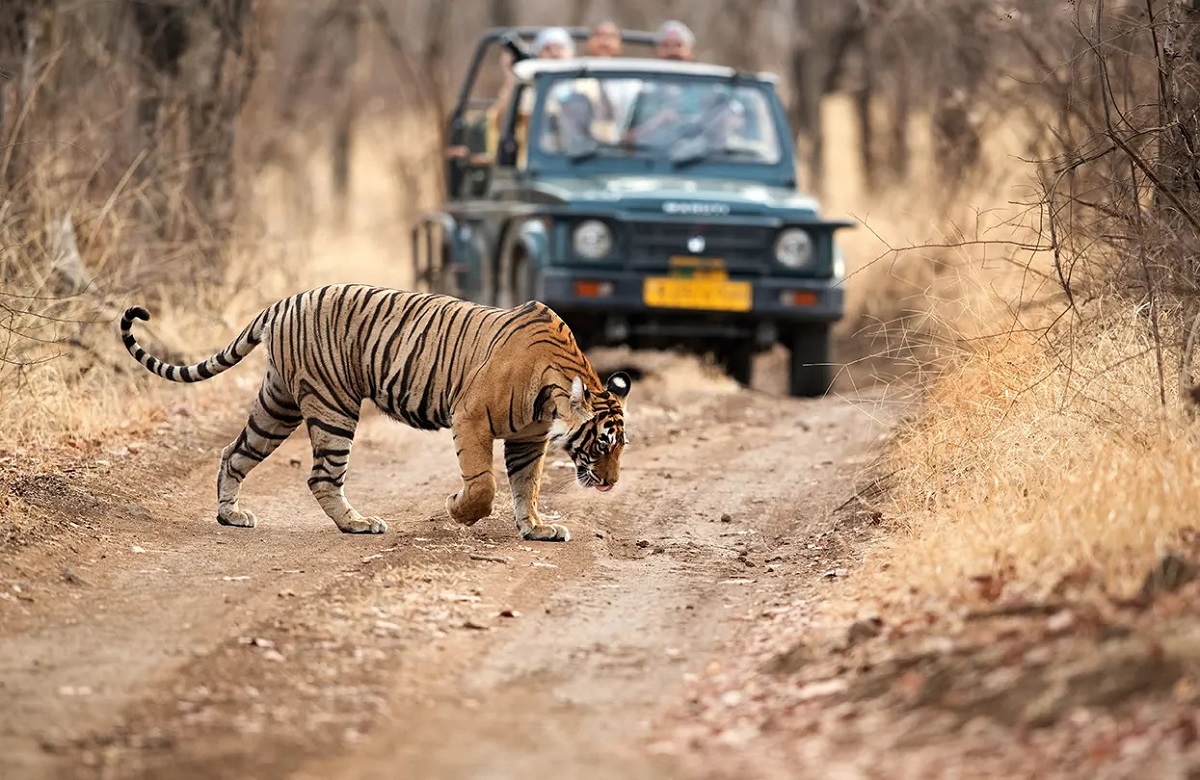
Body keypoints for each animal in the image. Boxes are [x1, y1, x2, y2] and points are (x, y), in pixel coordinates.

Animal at [117, 284, 633, 540]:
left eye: (620, 446)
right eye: (602, 443)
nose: (611, 483)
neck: (553, 390)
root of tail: (283, 302)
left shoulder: (529, 438)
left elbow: (528, 486)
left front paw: (537, 528)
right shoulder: (470, 417)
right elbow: (484, 485)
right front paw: (458, 509)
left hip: (278, 404)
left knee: (234, 452)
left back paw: (231, 516)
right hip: (333, 406)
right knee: (321, 476)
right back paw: (358, 524)